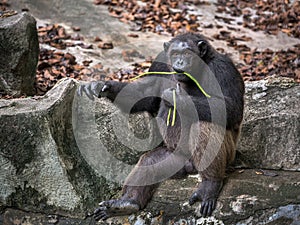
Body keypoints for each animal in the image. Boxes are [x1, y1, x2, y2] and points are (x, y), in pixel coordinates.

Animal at [77, 32, 244, 221]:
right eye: (175, 54)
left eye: (187, 53)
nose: (180, 62)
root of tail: (190, 167)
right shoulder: (160, 62)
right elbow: (145, 96)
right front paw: (101, 86)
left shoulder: (224, 69)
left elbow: (230, 107)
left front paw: (174, 97)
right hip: (175, 158)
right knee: (150, 161)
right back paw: (126, 203)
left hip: (226, 156)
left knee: (205, 124)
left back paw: (210, 184)